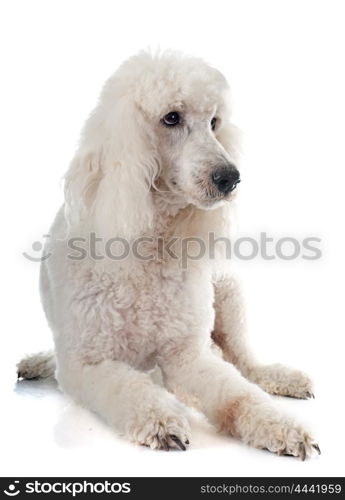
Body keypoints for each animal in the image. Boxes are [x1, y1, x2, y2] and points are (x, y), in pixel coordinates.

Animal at [17, 48, 318, 458]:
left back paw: (277, 375)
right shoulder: (87, 362)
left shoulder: (186, 356)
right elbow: (129, 390)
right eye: (171, 117)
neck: (149, 241)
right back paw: (37, 362)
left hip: (228, 293)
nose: (230, 178)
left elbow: (238, 395)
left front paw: (282, 427)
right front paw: (160, 420)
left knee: (244, 361)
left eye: (214, 122)